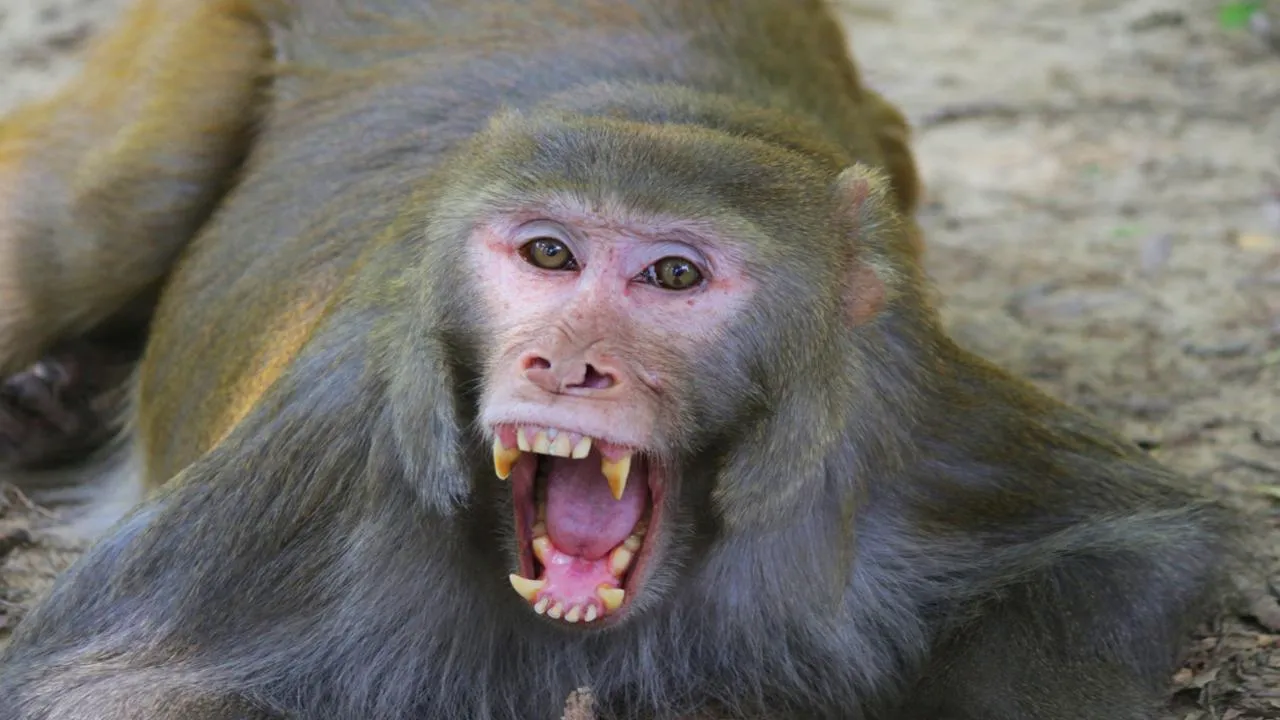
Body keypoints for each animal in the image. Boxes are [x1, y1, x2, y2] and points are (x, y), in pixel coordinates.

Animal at [0, 0, 1235, 719]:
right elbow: (102, 686)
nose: (565, 366)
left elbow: (1130, 544)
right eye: (548, 254)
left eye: (672, 276)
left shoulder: (904, 411)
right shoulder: (340, 446)